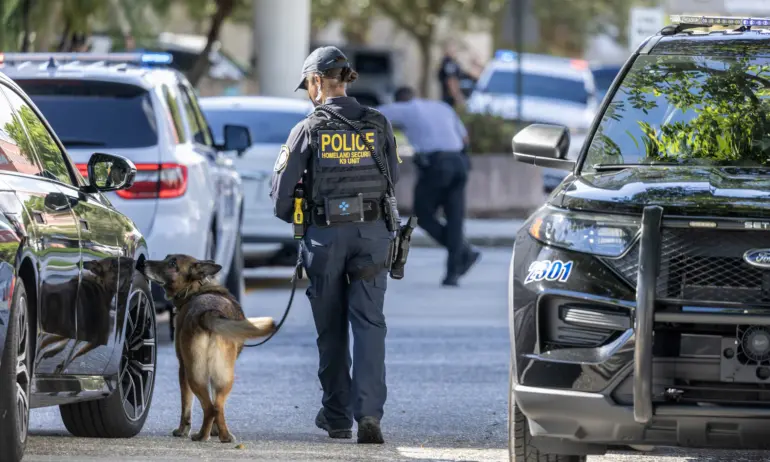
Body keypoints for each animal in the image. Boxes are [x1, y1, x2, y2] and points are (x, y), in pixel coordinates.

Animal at [140, 254, 274, 442]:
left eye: (172, 263)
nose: (143, 263)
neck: (196, 287)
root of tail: (209, 313)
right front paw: (215, 430)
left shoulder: (183, 369)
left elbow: (186, 407)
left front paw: (182, 431)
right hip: (224, 377)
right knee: (217, 406)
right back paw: (224, 436)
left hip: (194, 375)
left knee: (209, 407)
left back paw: (201, 436)